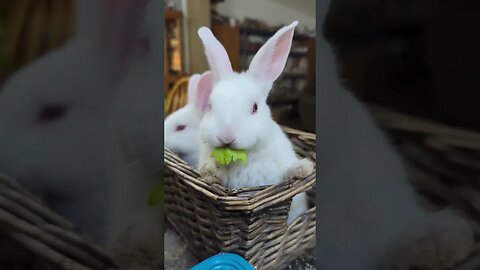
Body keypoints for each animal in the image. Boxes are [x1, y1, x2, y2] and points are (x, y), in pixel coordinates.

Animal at [196, 21, 316, 224]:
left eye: (255, 107)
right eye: (211, 106)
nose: (226, 136)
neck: (242, 158)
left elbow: (285, 172)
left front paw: (303, 168)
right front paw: (210, 170)